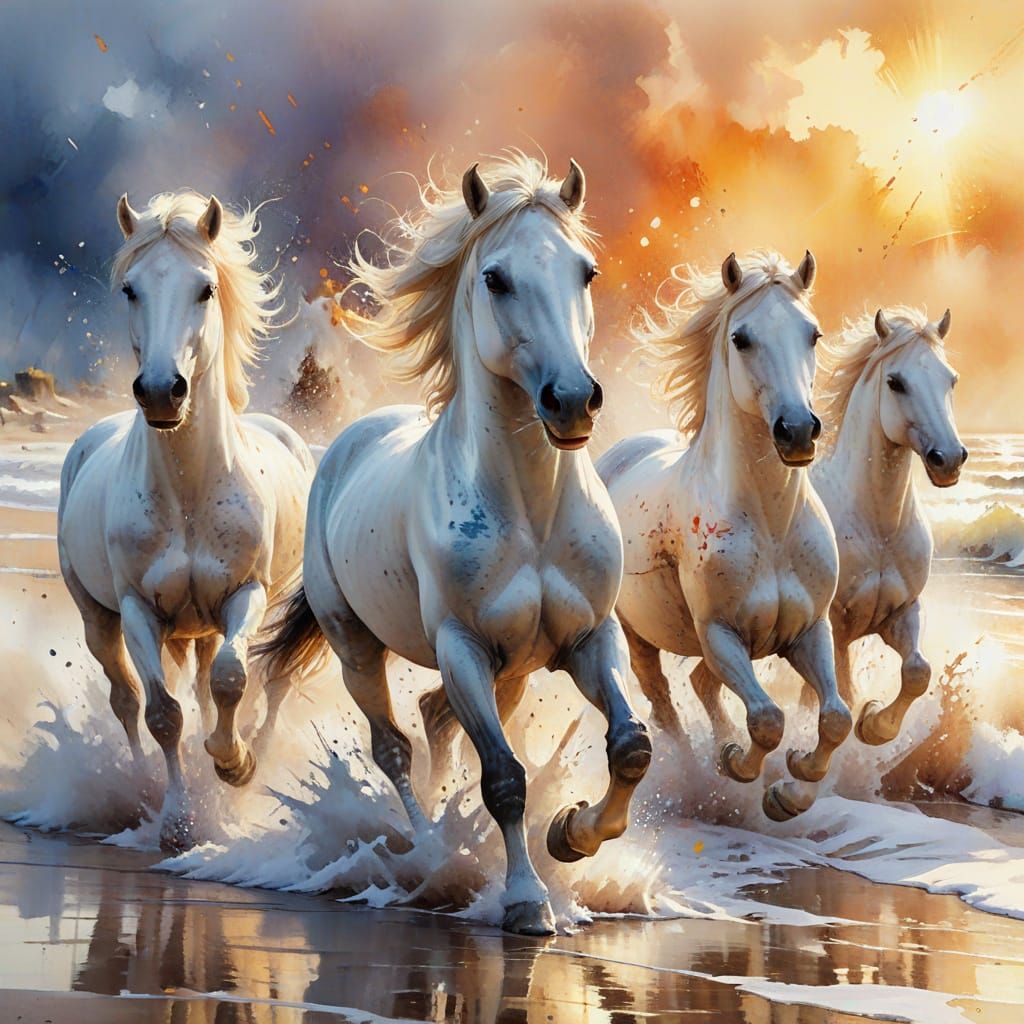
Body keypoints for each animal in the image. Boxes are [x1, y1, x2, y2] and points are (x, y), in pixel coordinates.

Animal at [58, 191, 314, 851]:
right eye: (130, 289)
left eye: (205, 288)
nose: (160, 392)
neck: (189, 493)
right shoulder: (137, 611)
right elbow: (162, 714)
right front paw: (177, 822)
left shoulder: (245, 594)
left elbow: (230, 679)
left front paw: (235, 763)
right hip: (99, 619)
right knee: (127, 700)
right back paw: (142, 785)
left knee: (265, 682)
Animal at [256, 153, 652, 936]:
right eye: (496, 278)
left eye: (586, 271)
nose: (572, 401)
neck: (530, 513)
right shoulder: (462, 645)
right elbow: (503, 779)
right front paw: (528, 901)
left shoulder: (589, 639)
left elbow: (630, 747)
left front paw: (571, 834)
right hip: (358, 646)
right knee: (394, 745)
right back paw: (432, 851)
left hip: (514, 668)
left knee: (438, 720)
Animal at [598, 250, 852, 820]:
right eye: (741, 338)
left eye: (813, 334)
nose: (797, 431)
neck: (770, 527)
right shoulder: (721, 634)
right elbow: (768, 719)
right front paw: (737, 763)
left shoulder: (810, 629)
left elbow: (836, 718)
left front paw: (792, 788)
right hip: (639, 636)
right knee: (664, 703)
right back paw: (695, 773)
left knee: (699, 685)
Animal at [763, 307, 966, 816]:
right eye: (896, 382)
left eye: (950, 379)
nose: (949, 460)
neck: (879, 529)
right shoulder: (835, 628)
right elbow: (834, 701)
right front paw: (796, 787)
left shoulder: (901, 612)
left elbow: (916, 673)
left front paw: (875, 726)